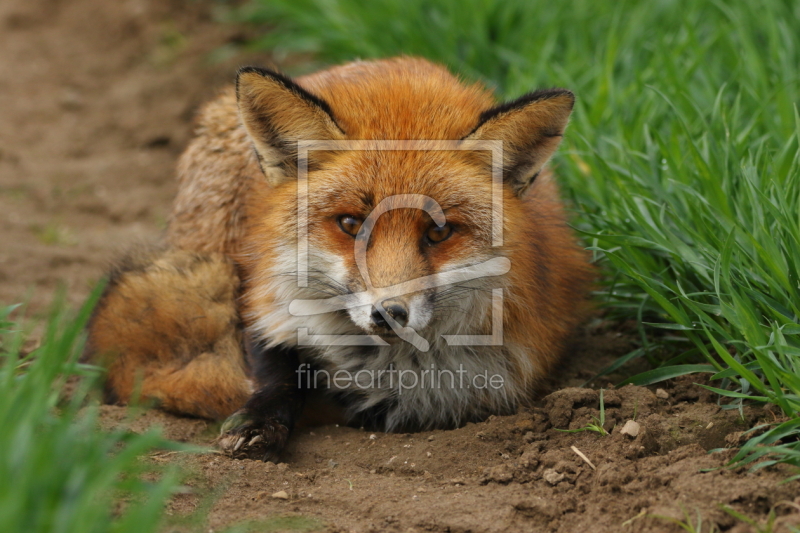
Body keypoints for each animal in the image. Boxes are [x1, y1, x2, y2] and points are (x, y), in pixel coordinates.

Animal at [84, 57, 592, 458]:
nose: (390, 313)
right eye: (351, 224)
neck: (389, 366)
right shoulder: (265, 303)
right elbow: (277, 374)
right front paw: (259, 422)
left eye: (439, 231)